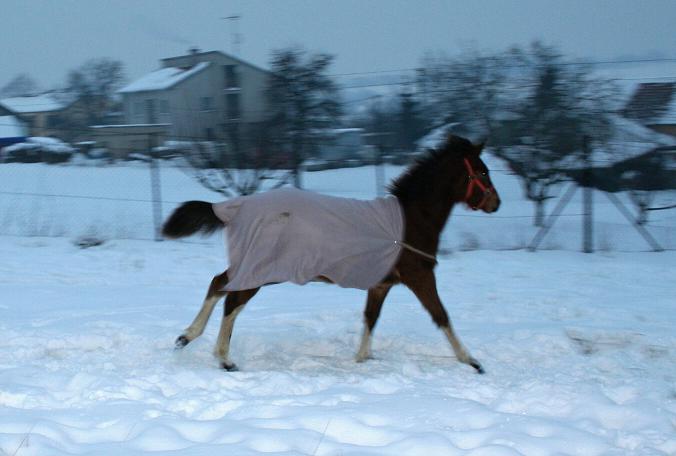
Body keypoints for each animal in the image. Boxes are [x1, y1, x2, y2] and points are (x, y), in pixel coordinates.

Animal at [164, 134, 500, 372]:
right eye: (482, 171)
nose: (496, 203)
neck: (411, 220)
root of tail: (236, 206)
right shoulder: (420, 276)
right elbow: (441, 315)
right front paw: (472, 361)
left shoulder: (381, 284)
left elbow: (370, 318)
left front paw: (363, 358)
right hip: (262, 271)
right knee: (231, 301)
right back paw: (224, 359)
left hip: (251, 267)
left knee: (219, 284)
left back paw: (186, 337)